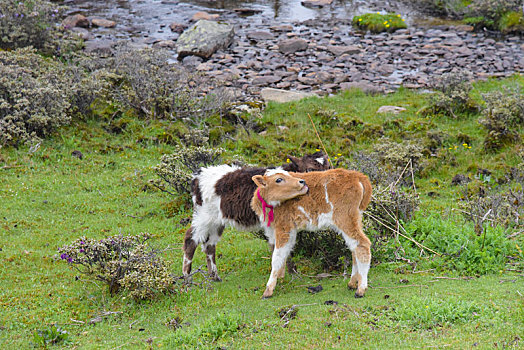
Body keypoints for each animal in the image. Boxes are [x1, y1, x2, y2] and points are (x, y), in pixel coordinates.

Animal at [182, 152, 330, 280]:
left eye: (328, 167)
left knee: (209, 244)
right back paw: (187, 277)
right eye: (310, 169)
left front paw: (292, 272)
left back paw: (214, 277)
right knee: (191, 238)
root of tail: (198, 175)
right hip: (204, 215)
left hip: (217, 221)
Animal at [251, 169, 370, 298]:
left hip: (345, 217)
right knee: (354, 247)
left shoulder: (284, 228)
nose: (302, 181)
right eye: (278, 179)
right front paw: (280, 279)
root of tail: (357, 175)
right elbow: (281, 255)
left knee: (362, 244)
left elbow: (276, 257)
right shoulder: (282, 231)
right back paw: (352, 283)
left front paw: (268, 290)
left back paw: (361, 289)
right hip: (355, 217)